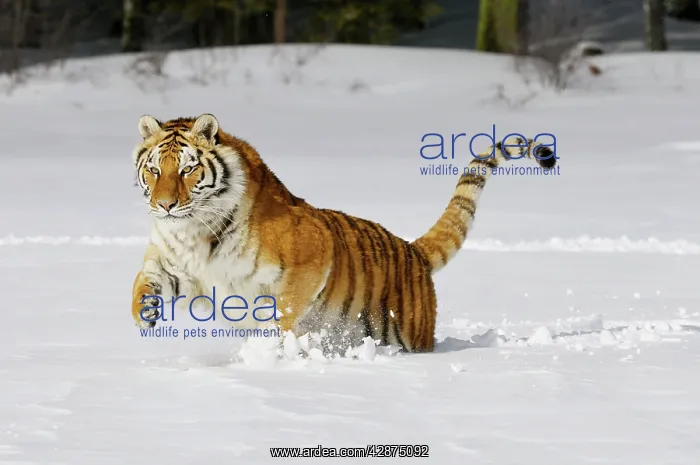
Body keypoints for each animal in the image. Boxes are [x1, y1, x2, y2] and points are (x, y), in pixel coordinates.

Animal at [131, 113, 556, 353]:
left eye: (187, 169)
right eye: (154, 170)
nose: (165, 205)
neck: (194, 229)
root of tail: (413, 251)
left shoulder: (311, 256)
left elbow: (284, 311)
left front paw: (272, 348)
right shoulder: (174, 263)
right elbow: (145, 281)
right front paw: (144, 314)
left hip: (407, 333)